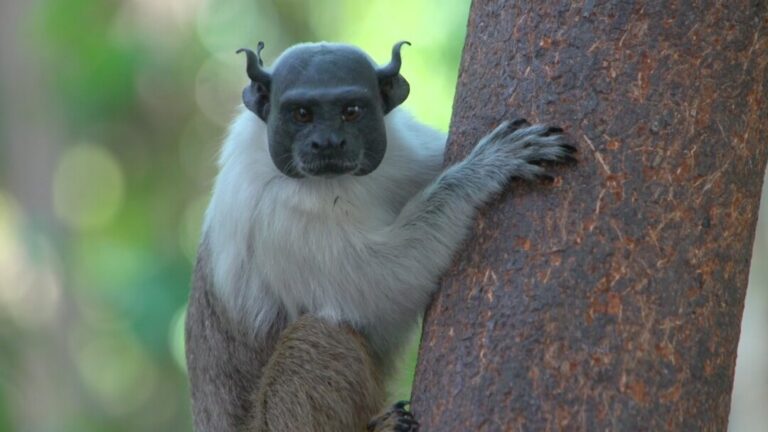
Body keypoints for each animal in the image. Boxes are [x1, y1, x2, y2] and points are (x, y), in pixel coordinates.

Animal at [186, 41, 576, 432]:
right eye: (302, 114)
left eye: (351, 111)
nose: (327, 143)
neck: (340, 183)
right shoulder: (279, 216)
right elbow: (379, 290)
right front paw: (481, 173)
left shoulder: (408, 150)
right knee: (319, 333)